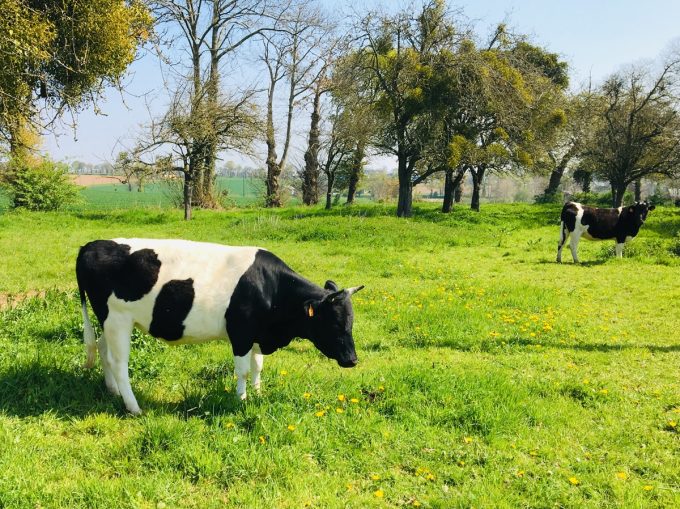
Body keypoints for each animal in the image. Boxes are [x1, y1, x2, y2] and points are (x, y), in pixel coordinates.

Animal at [76, 238, 364, 415]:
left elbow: (258, 366)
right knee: (119, 363)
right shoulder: (241, 333)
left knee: (103, 350)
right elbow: (243, 371)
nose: (352, 360)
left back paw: (112, 391)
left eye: (351, 322)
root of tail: (91, 244)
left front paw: (257, 393)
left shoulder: (257, 334)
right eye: (334, 322)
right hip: (118, 319)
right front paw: (241, 399)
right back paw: (134, 407)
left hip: (109, 321)